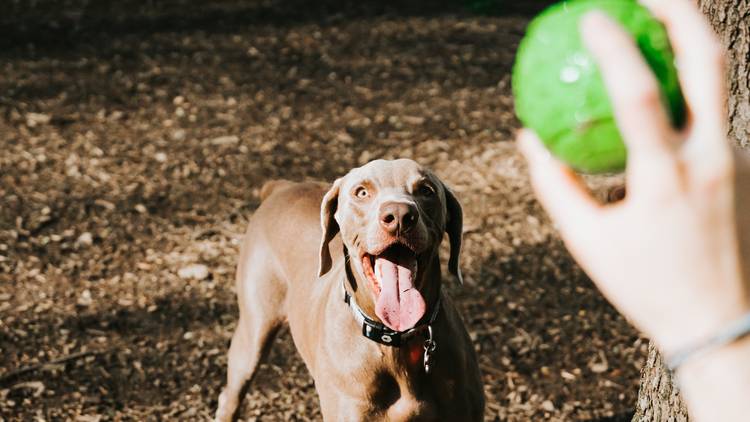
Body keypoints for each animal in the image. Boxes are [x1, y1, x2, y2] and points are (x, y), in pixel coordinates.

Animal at [214, 160, 484, 420]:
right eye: (362, 192)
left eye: (426, 190)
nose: (399, 215)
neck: (396, 342)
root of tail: (281, 188)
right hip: (253, 331)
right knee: (230, 394)